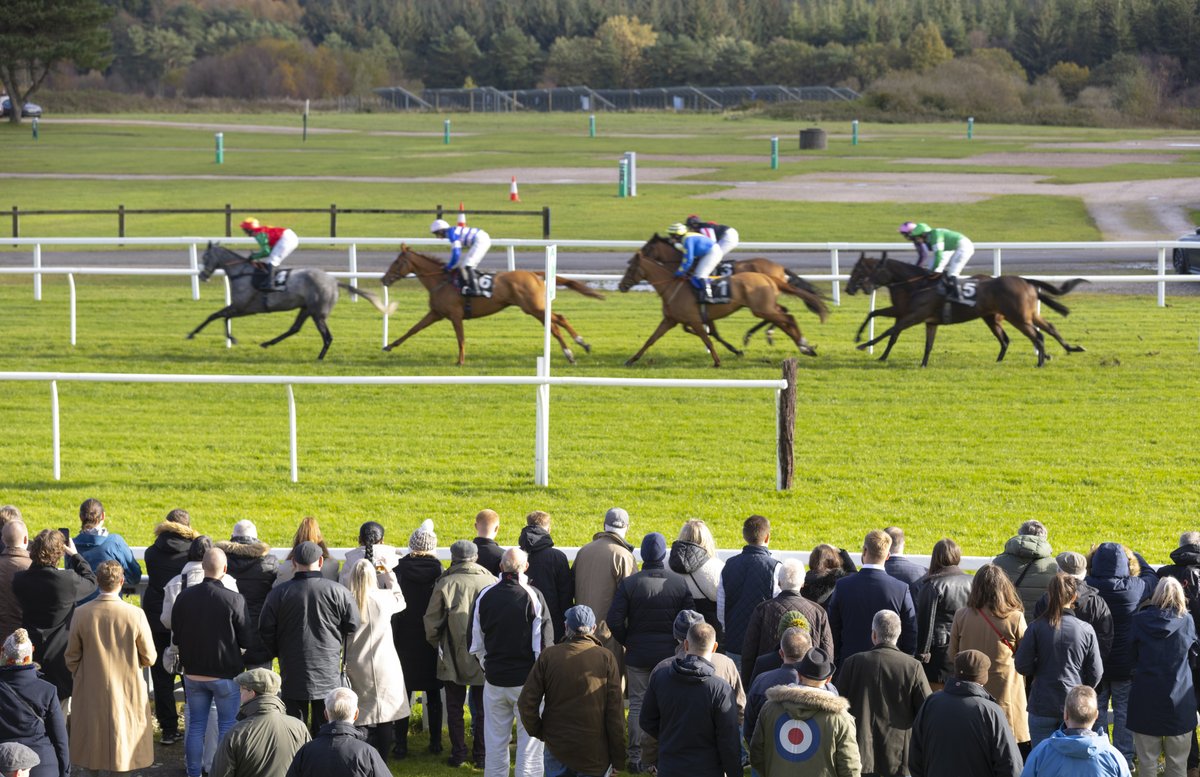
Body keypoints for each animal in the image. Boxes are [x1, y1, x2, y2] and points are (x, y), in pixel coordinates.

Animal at [184, 241, 396, 359]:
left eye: (205, 256)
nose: (202, 276)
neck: (242, 273)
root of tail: (334, 281)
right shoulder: (242, 308)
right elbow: (222, 317)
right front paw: (230, 338)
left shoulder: (243, 307)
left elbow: (216, 315)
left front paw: (193, 334)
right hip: (306, 308)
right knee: (295, 328)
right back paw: (267, 343)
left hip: (318, 313)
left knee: (327, 336)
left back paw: (319, 357)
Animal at [381, 244, 604, 366]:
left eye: (397, 262)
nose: (384, 279)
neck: (441, 281)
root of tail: (533, 273)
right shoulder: (436, 313)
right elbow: (412, 329)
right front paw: (389, 346)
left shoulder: (455, 315)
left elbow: (461, 339)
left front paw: (460, 361)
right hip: (535, 308)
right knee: (558, 320)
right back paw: (581, 344)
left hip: (534, 308)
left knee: (555, 325)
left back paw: (571, 352)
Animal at [619, 250, 825, 369]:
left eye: (630, 269)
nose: (621, 286)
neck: (672, 286)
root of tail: (769, 277)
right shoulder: (670, 320)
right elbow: (651, 339)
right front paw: (631, 359)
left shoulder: (694, 320)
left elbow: (708, 339)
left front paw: (718, 361)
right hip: (765, 307)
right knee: (784, 318)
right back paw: (804, 347)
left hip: (762, 309)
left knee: (788, 318)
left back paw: (803, 345)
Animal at [638, 232, 825, 350]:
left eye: (647, 247)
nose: (638, 256)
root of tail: (779, 267)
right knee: (781, 311)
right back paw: (765, 334)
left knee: (778, 313)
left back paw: (760, 334)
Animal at [844, 251, 1089, 366]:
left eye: (861, 271)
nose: (850, 288)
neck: (917, 284)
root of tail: (1026, 281)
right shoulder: (924, 319)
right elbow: (926, 344)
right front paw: (922, 363)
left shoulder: (914, 315)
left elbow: (890, 331)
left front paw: (865, 345)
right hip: (1020, 315)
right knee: (1047, 329)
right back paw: (1070, 348)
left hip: (1017, 317)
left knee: (1037, 336)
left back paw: (1041, 360)